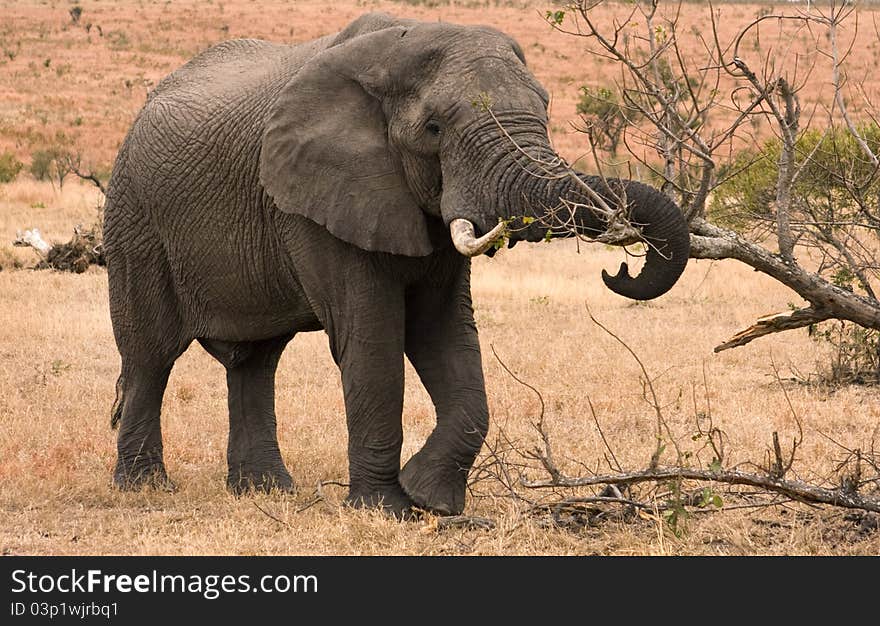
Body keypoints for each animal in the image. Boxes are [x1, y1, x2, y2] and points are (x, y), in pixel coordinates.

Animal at [103, 11, 692, 516]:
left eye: (545, 110)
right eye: (434, 128)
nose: (618, 271)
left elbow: (443, 333)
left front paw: (432, 499)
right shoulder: (318, 199)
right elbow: (372, 340)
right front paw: (386, 509)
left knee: (255, 360)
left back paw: (265, 491)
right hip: (134, 216)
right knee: (150, 354)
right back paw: (145, 488)